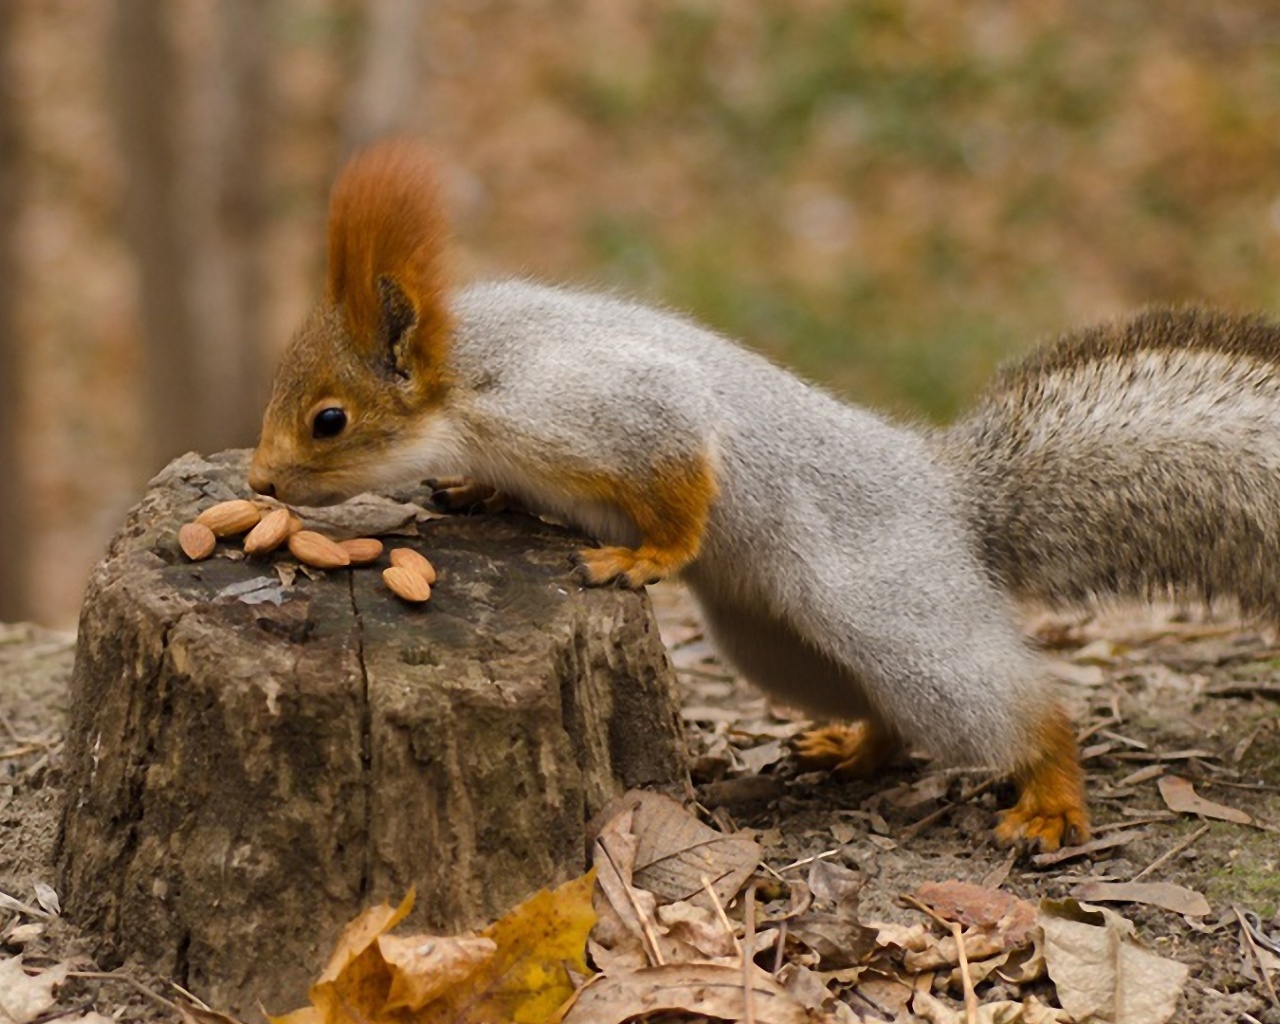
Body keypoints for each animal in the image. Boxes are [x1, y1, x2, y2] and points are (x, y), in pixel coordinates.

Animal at [247, 140, 1280, 849]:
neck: (466, 373)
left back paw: (1053, 798)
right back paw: (853, 750)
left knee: (1017, 710)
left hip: (897, 616)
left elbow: (678, 467)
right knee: (888, 716)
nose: (258, 481)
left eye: (329, 420)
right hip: (774, 643)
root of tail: (954, 499)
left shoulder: (601, 405)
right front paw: (476, 491)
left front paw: (645, 555)